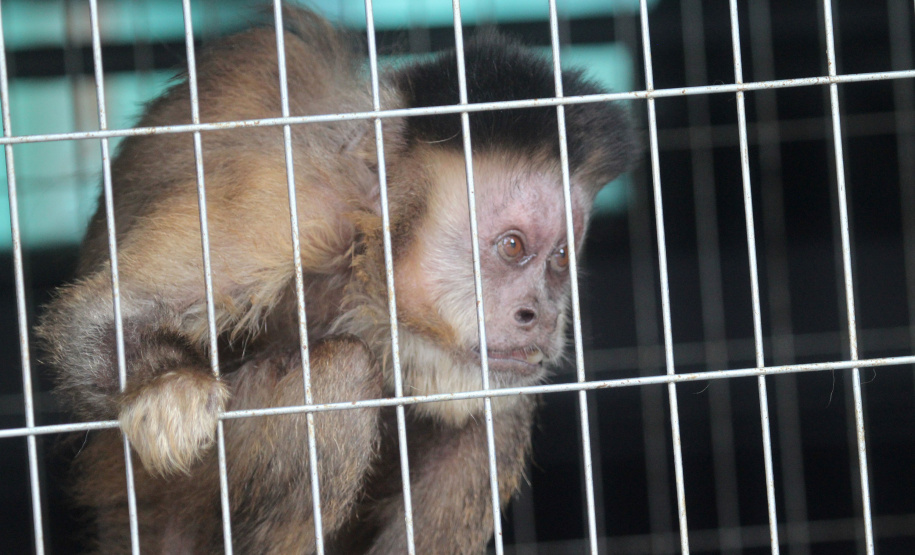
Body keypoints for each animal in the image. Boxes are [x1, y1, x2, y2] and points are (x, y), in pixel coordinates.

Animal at [36, 7, 634, 554]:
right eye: (513, 247)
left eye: (560, 258)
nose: (543, 314)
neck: (366, 259)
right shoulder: (292, 196)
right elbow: (105, 316)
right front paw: (166, 391)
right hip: (146, 505)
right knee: (337, 378)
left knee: (496, 417)